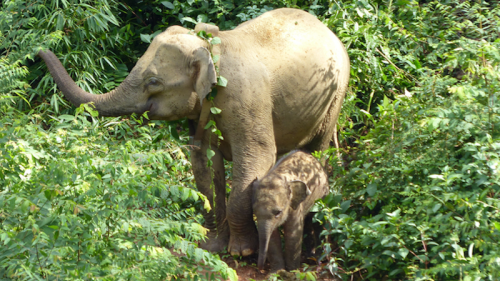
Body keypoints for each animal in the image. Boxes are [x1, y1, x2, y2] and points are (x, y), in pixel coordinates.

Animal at [37, 7, 350, 256]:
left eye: (153, 82)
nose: (39, 50)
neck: (210, 46)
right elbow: (203, 163)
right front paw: (212, 246)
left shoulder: (246, 100)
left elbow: (256, 158)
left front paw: (241, 252)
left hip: (336, 93)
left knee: (317, 148)